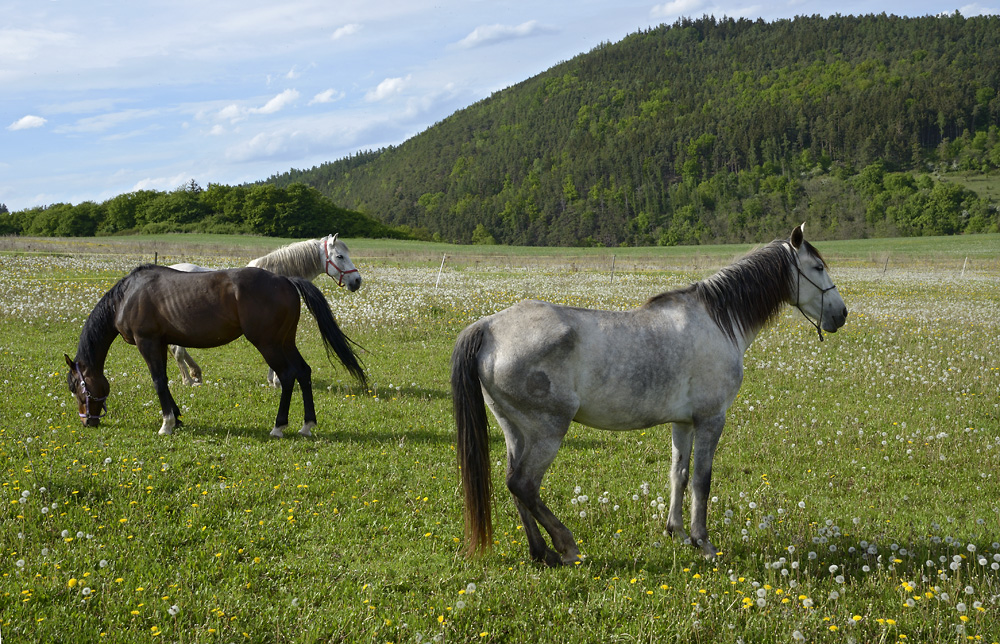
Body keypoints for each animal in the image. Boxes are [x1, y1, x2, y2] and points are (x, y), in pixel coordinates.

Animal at [68, 262, 370, 438]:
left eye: (76, 387)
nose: (87, 421)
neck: (127, 296)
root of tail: (285, 280)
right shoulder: (162, 343)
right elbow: (166, 380)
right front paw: (177, 417)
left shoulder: (149, 342)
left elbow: (158, 381)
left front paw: (167, 424)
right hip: (285, 341)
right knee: (304, 372)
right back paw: (307, 425)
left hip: (269, 344)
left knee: (287, 376)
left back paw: (279, 426)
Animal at [170, 236, 362, 388]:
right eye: (339, 256)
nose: (357, 280)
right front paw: (277, 380)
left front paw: (272, 380)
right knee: (178, 351)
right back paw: (188, 379)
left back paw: (195, 373)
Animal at [456, 224, 852, 568]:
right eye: (817, 267)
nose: (842, 314)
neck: (718, 321)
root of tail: (489, 327)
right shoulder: (711, 419)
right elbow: (702, 480)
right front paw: (702, 541)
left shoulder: (684, 423)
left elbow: (678, 473)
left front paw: (674, 531)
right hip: (548, 430)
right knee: (523, 484)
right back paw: (566, 546)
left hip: (515, 430)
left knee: (515, 485)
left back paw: (542, 553)